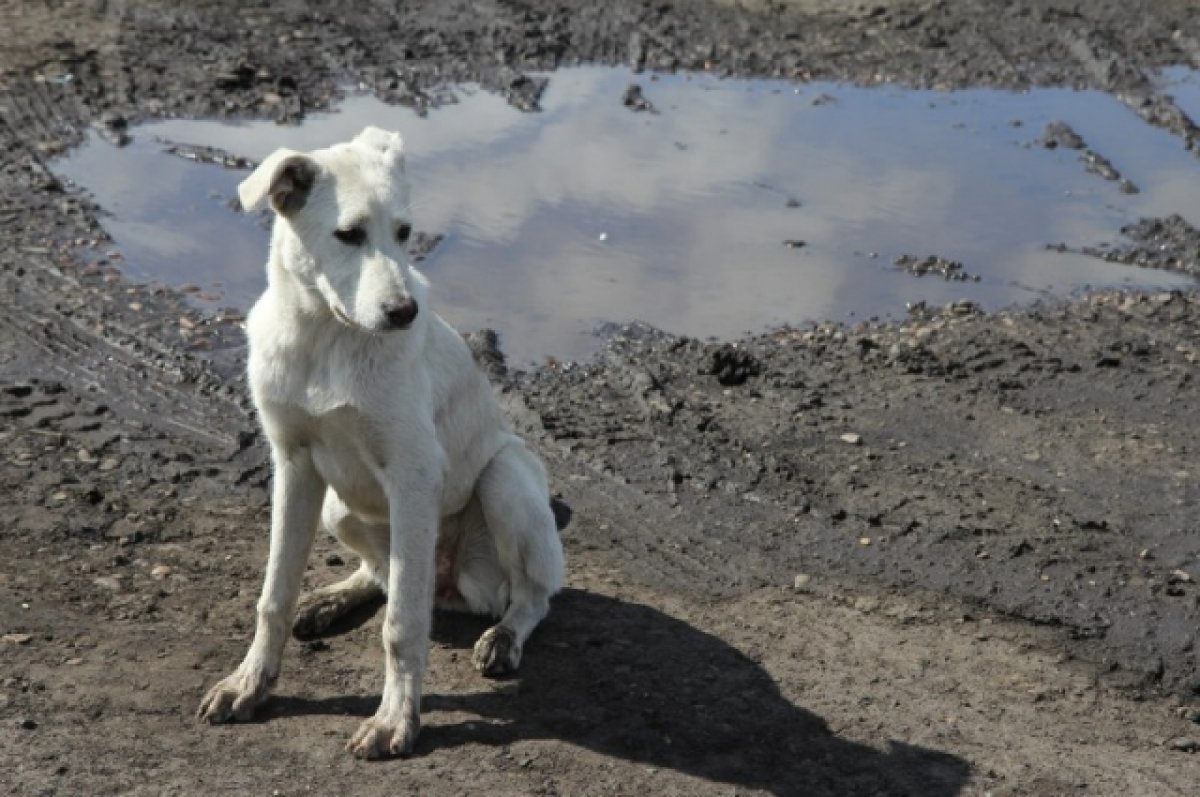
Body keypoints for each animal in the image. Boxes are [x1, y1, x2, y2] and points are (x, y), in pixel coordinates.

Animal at [196, 126, 566, 758]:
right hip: (337, 507)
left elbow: (401, 626)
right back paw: (330, 599)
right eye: (348, 234)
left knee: (527, 594)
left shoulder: (413, 474)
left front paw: (396, 719)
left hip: (505, 480)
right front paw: (250, 683)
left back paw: (503, 636)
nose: (404, 312)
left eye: (403, 232)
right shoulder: (293, 464)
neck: (327, 335)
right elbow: (274, 595)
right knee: (381, 574)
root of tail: (451, 583)